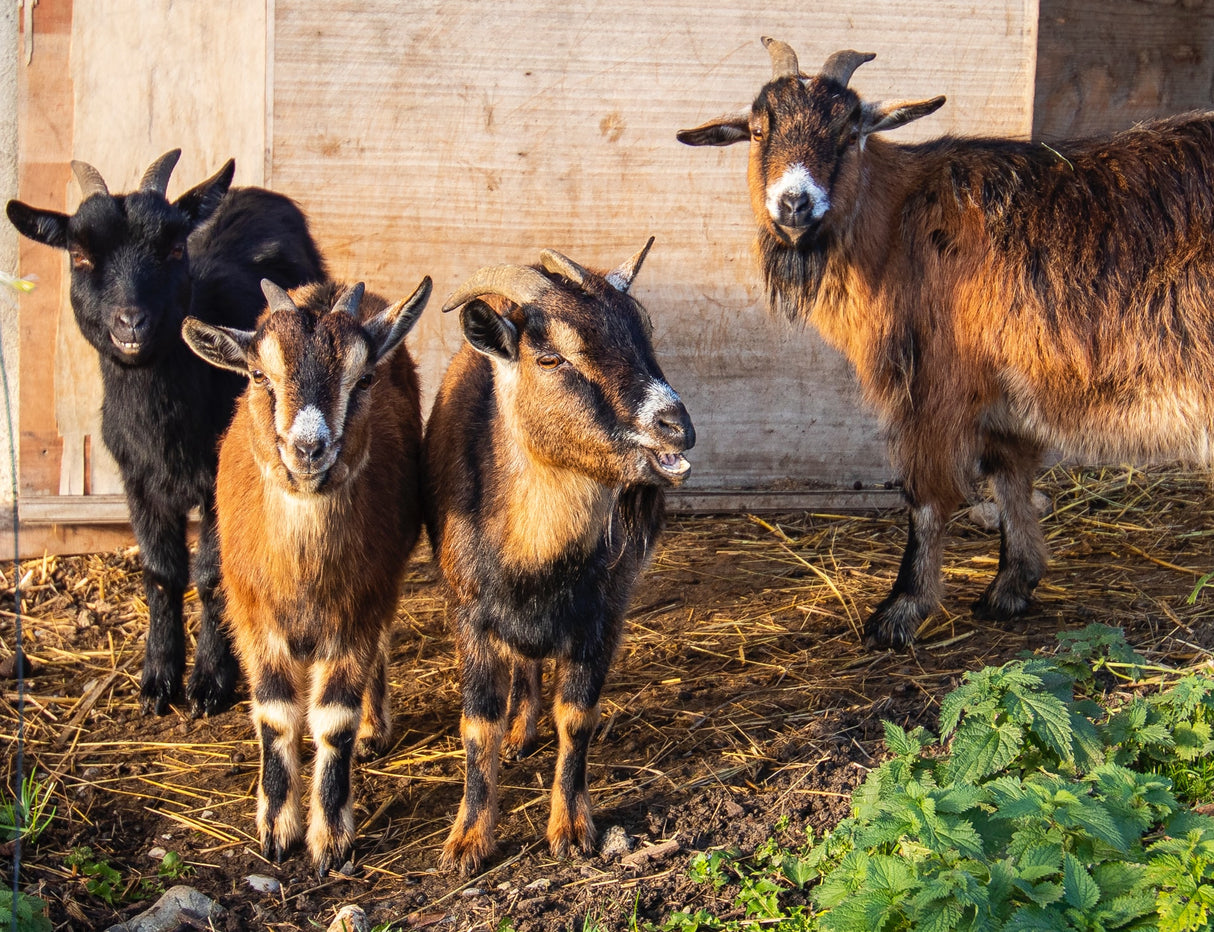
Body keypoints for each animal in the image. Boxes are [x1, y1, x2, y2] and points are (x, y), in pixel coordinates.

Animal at [7, 151, 326, 713]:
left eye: (174, 248)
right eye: (79, 255)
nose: (130, 322)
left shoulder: (220, 482)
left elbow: (211, 573)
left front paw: (211, 682)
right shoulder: (138, 483)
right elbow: (161, 571)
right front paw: (158, 678)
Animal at [182, 275, 430, 875]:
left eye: (363, 378)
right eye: (257, 375)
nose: (309, 449)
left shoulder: (359, 608)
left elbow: (334, 720)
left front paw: (331, 840)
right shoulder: (254, 617)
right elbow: (275, 715)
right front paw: (276, 829)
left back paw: (375, 726)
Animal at [425, 241, 695, 874]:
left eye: (643, 337)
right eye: (550, 357)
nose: (677, 426)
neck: (537, 558)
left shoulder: (604, 614)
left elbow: (577, 718)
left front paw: (572, 830)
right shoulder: (469, 614)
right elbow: (478, 723)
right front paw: (467, 841)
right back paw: (521, 733)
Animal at [678, 38, 1214, 649]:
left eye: (849, 129)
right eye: (758, 129)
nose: (795, 203)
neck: (897, 224)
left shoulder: (937, 382)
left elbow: (927, 497)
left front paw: (901, 609)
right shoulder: (1001, 387)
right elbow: (1009, 475)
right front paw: (1012, 585)